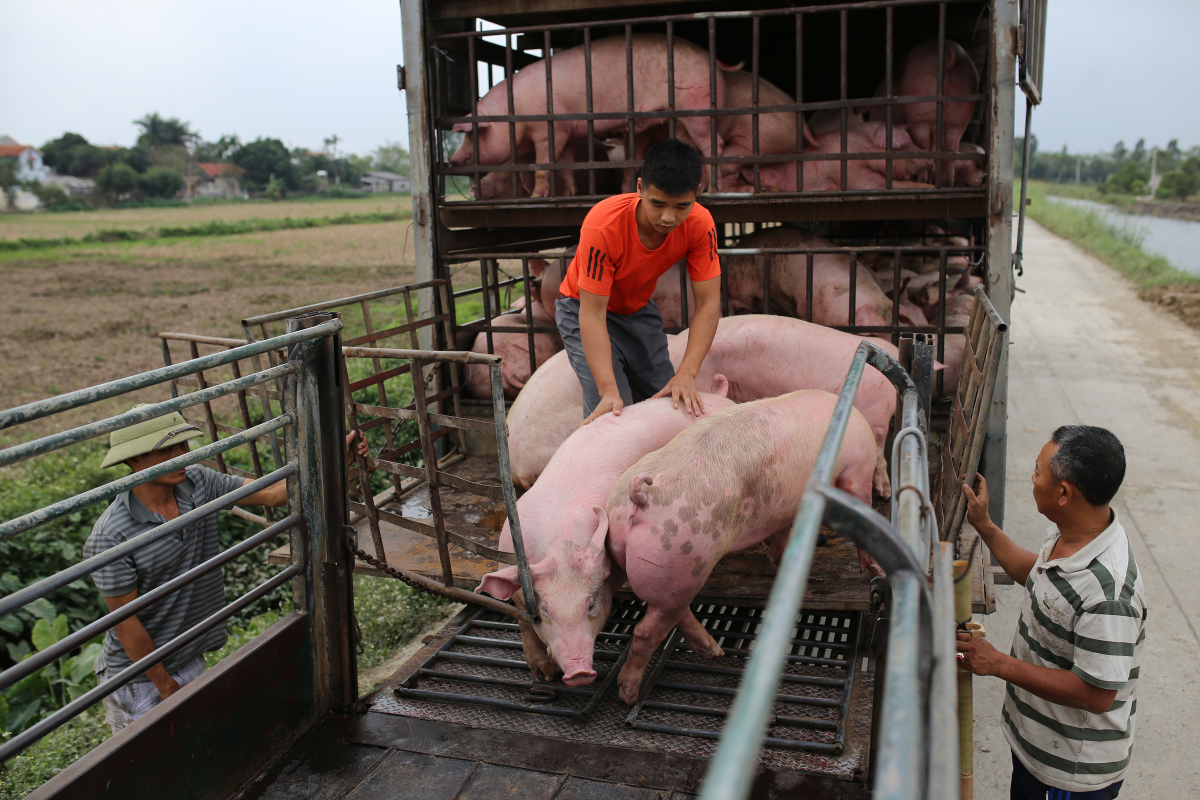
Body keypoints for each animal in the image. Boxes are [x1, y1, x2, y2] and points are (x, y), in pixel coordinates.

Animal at [448, 34, 729, 199]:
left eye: (473, 135)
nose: (452, 161)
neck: (515, 113)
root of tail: (713, 60)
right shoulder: (568, 133)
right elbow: (565, 166)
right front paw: (569, 195)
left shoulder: (548, 132)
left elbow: (542, 164)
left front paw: (536, 198)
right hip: (682, 123)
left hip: (698, 109)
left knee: (715, 144)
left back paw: (710, 189)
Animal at [477, 383, 729, 686]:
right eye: (544, 611)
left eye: (590, 604)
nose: (579, 673)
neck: (559, 543)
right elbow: (522, 619)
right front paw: (544, 675)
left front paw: (715, 653)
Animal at [604, 391, 878, 705]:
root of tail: (641, 495)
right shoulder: (859, 466)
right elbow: (861, 503)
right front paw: (873, 569)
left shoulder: (787, 506)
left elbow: (783, 531)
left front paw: (778, 560)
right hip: (681, 556)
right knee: (645, 631)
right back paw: (629, 694)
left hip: (671, 574)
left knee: (673, 612)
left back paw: (713, 650)